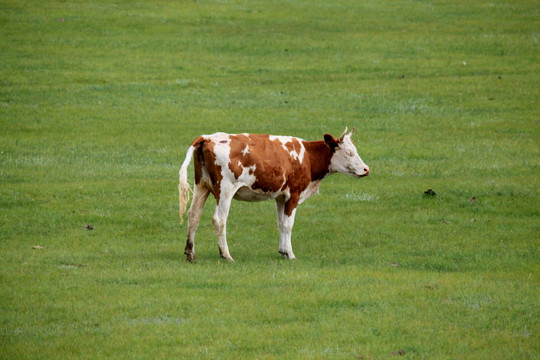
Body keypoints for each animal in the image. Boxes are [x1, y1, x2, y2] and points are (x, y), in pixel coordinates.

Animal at [179, 127, 370, 262]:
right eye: (348, 153)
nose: (366, 169)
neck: (307, 156)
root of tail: (207, 138)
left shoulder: (280, 197)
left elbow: (280, 223)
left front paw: (283, 250)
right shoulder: (294, 194)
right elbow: (288, 224)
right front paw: (290, 254)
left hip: (201, 185)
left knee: (194, 215)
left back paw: (190, 253)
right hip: (225, 190)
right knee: (219, 220)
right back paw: (226, 255)